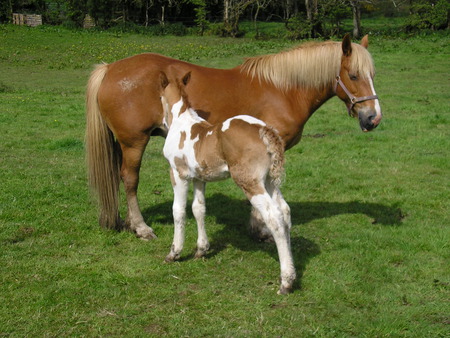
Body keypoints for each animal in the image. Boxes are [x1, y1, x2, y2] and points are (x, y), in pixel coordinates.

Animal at [84, 33, 380, 240]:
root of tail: (110, 68)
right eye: (353, 75)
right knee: (129, 179)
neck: (283, 90)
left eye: (373, 75)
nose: (373, 118)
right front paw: (259, 228)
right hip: (134, 142)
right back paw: (141, 227)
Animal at [160, 72, 298, 294]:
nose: (161, 124)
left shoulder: (178, 174)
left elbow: (178, 211)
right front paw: (201, 250)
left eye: (159, 95)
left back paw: (286, 282)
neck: (182, 123)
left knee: (274, 217)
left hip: (249, 182)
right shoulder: (199, 178)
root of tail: (264, 130)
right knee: (284, 211)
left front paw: (174, 253)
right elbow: (198, 209)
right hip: (269, 181)